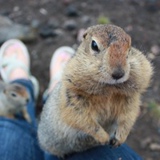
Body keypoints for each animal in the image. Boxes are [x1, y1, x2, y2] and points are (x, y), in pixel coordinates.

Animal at [37, 24, 154, 157]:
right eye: (94, 45)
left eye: (130, 48)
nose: (118, 73)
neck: (109, 88)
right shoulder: (71, 97)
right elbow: (81, 118)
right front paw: (104, 137)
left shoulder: (131, 98)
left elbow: (128, 116)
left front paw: (119, 138)